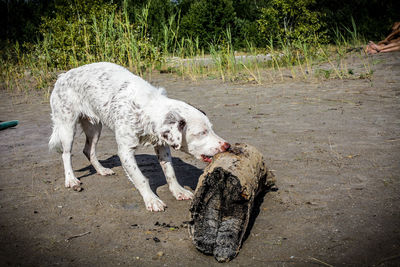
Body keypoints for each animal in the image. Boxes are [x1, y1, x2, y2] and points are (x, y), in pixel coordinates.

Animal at [48, 61, 230, 213]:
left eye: (211, 128)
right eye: (201, 133)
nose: (227, 145)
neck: (146, 109)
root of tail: (62, 76)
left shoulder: (162, 146)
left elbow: (170, 172)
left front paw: (178, 191)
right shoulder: (125, 152)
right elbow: (141, 179)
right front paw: (152, 200)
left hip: (94, 128)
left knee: (88, 150)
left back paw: (101, 170)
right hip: (67, 127)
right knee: (66, 154)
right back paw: (71, 179)